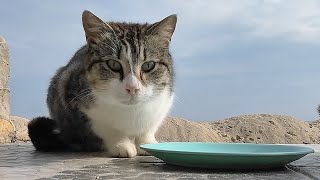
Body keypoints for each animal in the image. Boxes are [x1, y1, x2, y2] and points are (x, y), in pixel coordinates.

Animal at [27, 10, 178, 158]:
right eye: (113, 64)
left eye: (148, 65)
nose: (132, 87)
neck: (131, 111)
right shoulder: (79, 103)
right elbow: (107, 129)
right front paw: (121, 144)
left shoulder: (163, 104)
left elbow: (148, 129)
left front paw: (146, 144)